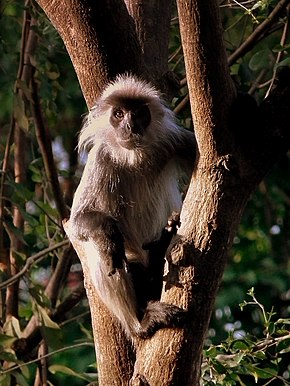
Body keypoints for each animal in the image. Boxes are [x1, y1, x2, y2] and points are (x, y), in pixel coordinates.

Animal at [69, 74, 196, 340]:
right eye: (118, 114)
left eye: (138, 113)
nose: (129, 125)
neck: (133, 157)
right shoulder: (100, 158)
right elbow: (78, 223)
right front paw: (108, 234)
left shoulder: (174, 140)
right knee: (105, 253)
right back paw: (140, 323)